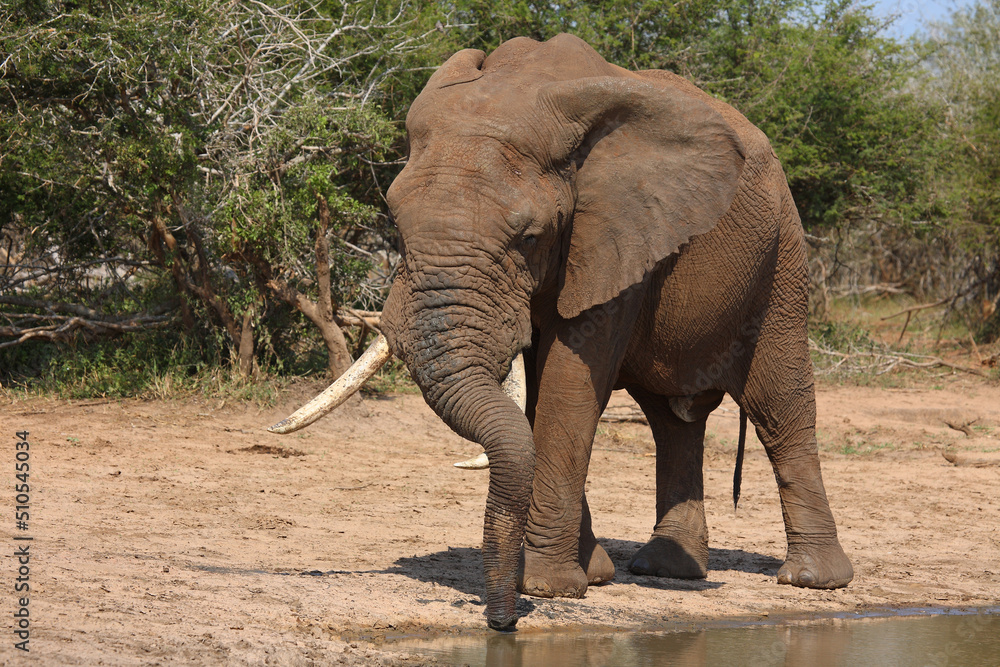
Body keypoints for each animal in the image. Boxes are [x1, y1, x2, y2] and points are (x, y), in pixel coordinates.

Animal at [271, 33, 853, 631]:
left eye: (529, 236)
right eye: (395, 221)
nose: (502, 622)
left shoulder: (611, 236)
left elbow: (566, 387)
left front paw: (546, 586)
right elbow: (537, 397)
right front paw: (589, 576)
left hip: (782, 253)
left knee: (778, 404)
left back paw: (812, 579)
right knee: (673, 421)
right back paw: (667, 569)